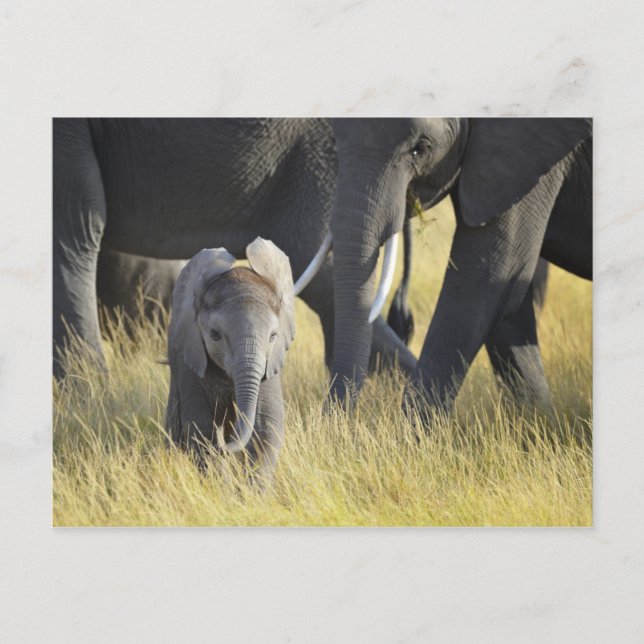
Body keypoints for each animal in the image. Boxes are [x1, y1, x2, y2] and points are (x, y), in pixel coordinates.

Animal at [166, 238, 294, 481]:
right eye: (215, 335)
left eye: (273, 336)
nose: (228, 444)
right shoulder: (189, 359)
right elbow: (201, 428)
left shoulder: (269, 365)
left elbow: (267, 424)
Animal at [327, 118, 592, 414]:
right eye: (335, 139)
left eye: (421, 149)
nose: (340, 417)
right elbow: (507, 301)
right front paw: (539, 419)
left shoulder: (527, 155)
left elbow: (485, 279)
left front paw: (412, 427)